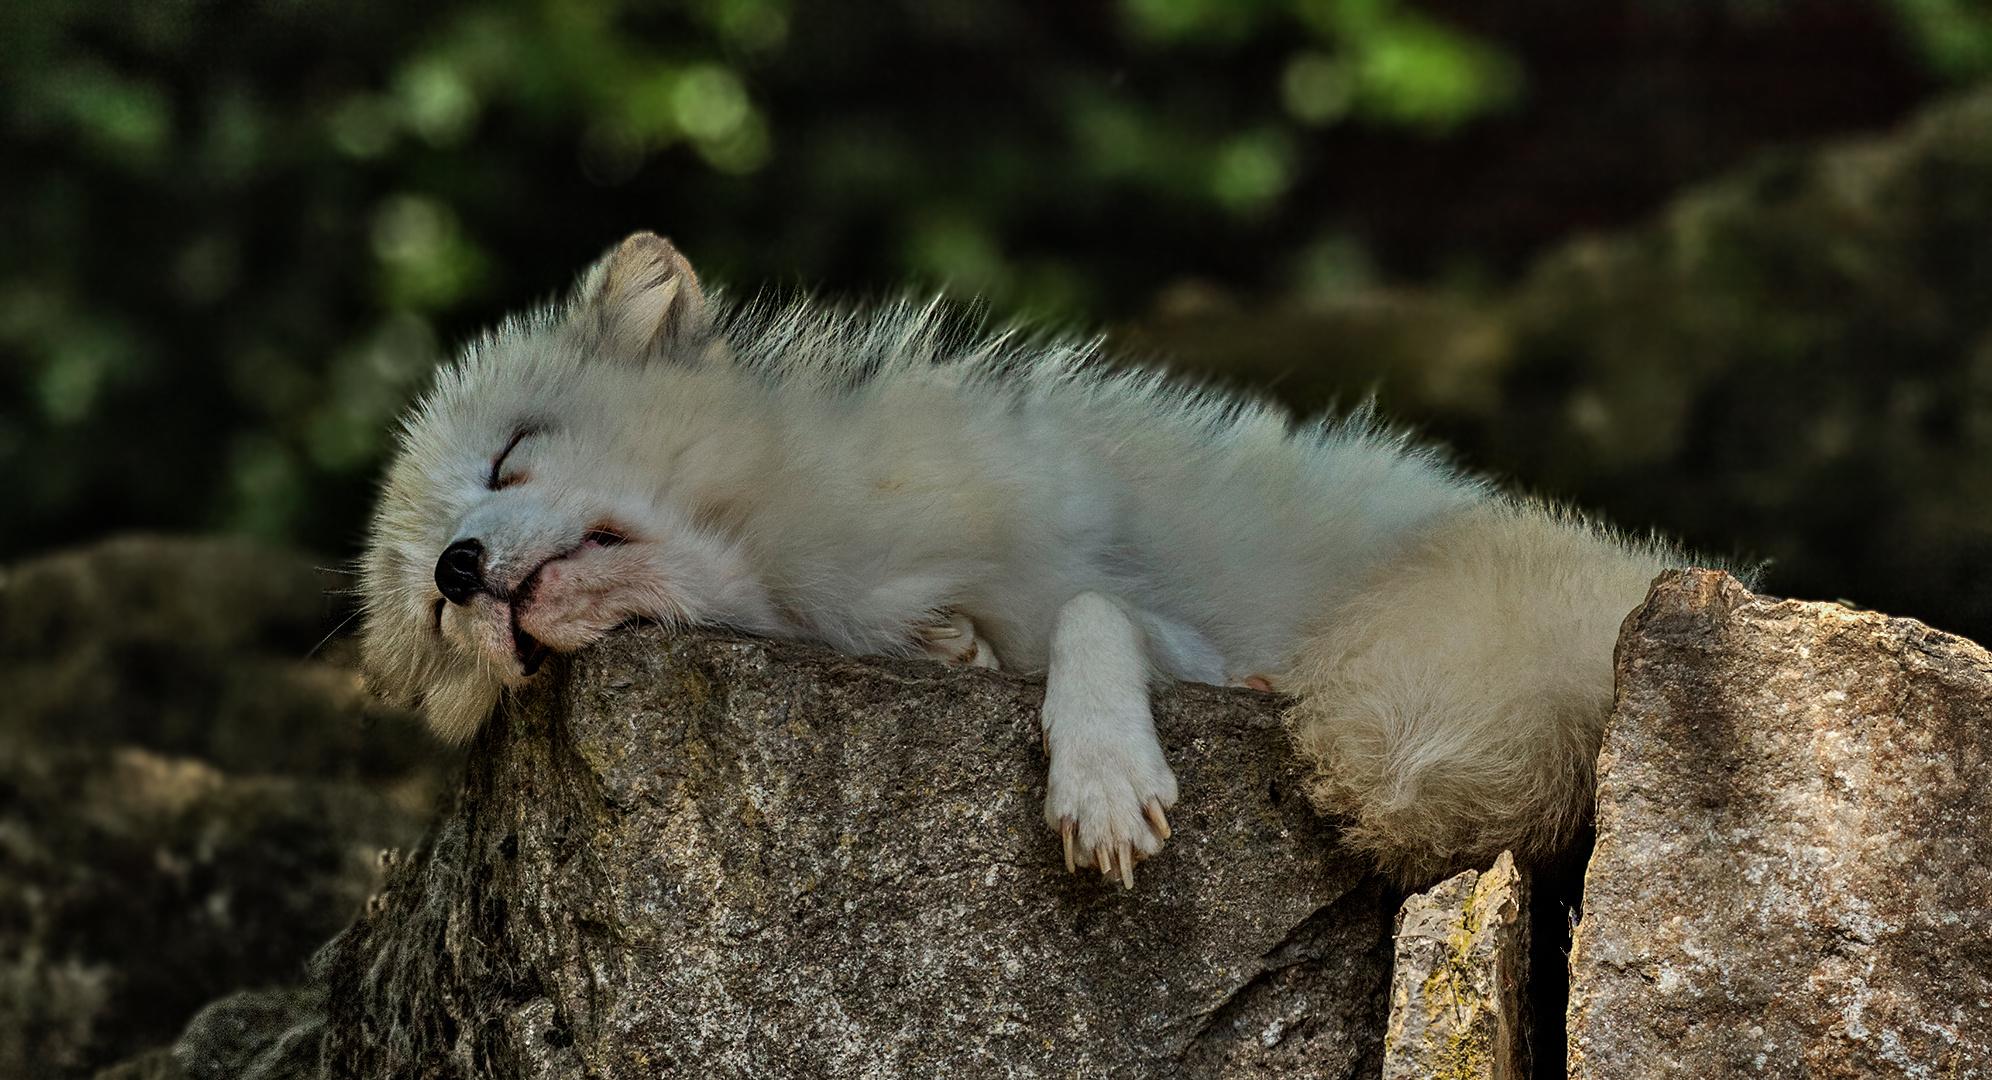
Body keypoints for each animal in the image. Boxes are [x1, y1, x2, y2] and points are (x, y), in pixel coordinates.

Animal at [358, 233, 1681, 884]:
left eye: (510, 458)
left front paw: (1100, 780)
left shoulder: (1172, 626)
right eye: (431, 613)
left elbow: (1097, 609)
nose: (461, 571)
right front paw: (969, 655)